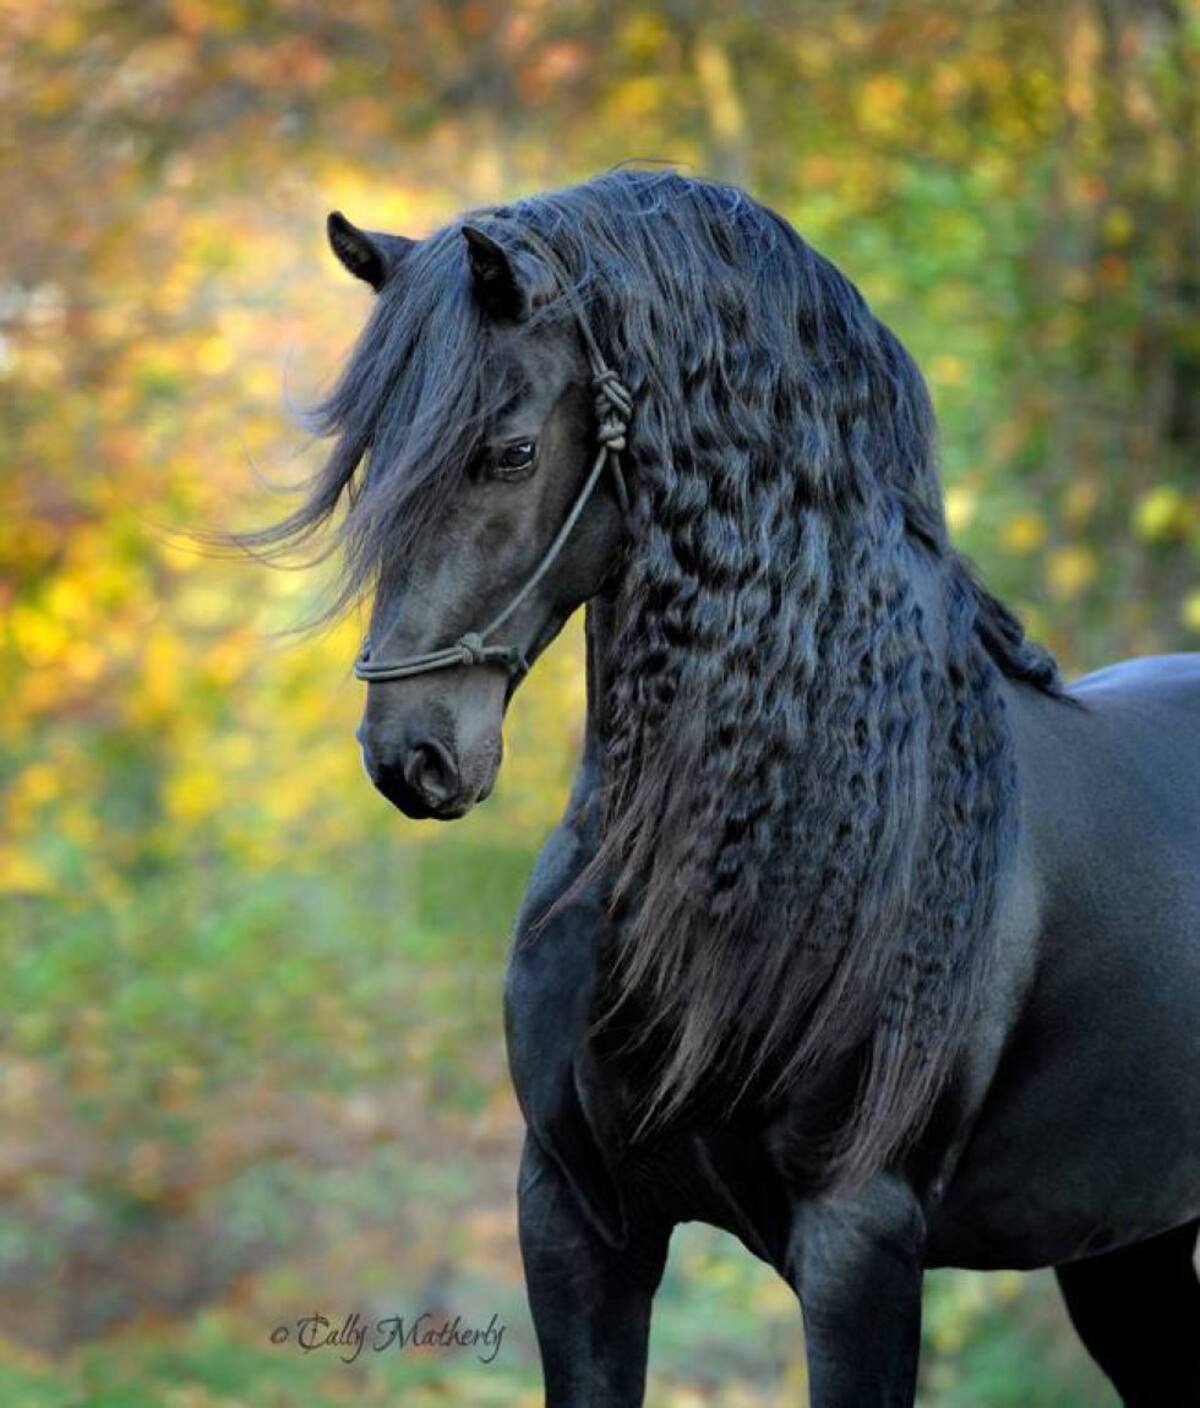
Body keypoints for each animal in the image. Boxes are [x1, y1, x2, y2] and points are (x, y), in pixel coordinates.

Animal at [253, 169, 1200, 1406]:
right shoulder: (576, 1220)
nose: (410, 753)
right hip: (1126, 1248)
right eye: (375, 461)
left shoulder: (858, 1242)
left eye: (509, 452)